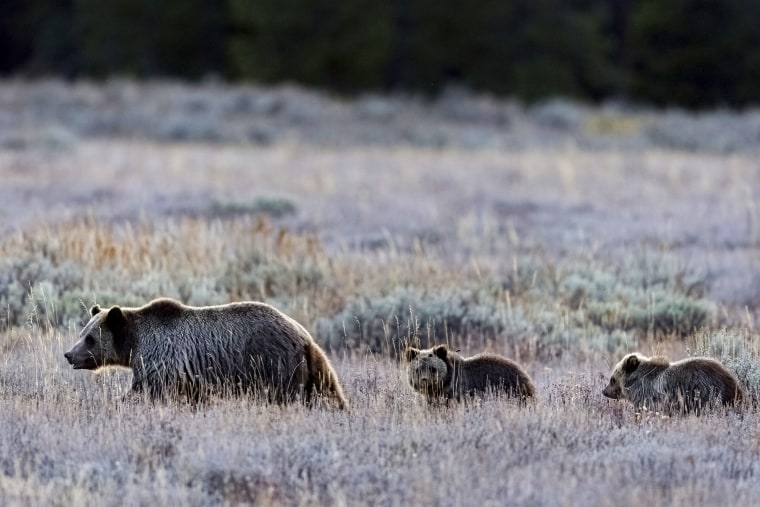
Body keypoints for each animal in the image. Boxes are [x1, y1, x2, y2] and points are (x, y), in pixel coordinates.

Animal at [63, 298, 348, 408]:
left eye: (89, 338)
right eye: (82, 333)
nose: (69, 354)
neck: (134, 344)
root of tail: (303, 335)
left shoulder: (162, 362)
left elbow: (143, 392)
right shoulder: (190, 378)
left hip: (273, 363)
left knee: (285, 394)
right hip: (313, 365)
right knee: (328, 390)